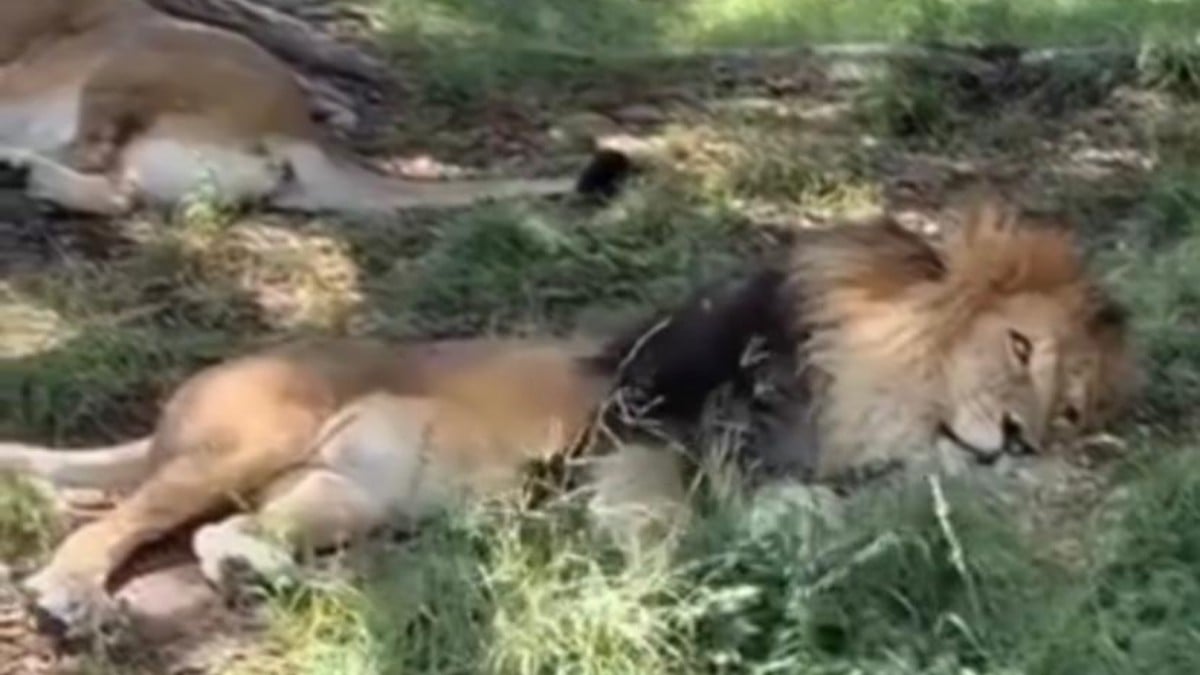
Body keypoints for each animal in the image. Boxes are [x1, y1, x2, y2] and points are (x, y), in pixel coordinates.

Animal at [0, 0, 616, 216]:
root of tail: (301, 127)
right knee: (118, 191)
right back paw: (29, 174)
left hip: (127, 65)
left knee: (100, 165)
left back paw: (22, 168)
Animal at [0, 199, 1136, 641]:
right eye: (1019, 349)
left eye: (1072, 404)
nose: (1024, 440)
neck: (873, 408)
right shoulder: (637, 436)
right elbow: (666, 520)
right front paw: (671, 583)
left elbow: (803, 520)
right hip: (248, 437)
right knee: (116, 523)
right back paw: (68, 594)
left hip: (343, 492)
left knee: (229, 531)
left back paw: (258, 568)